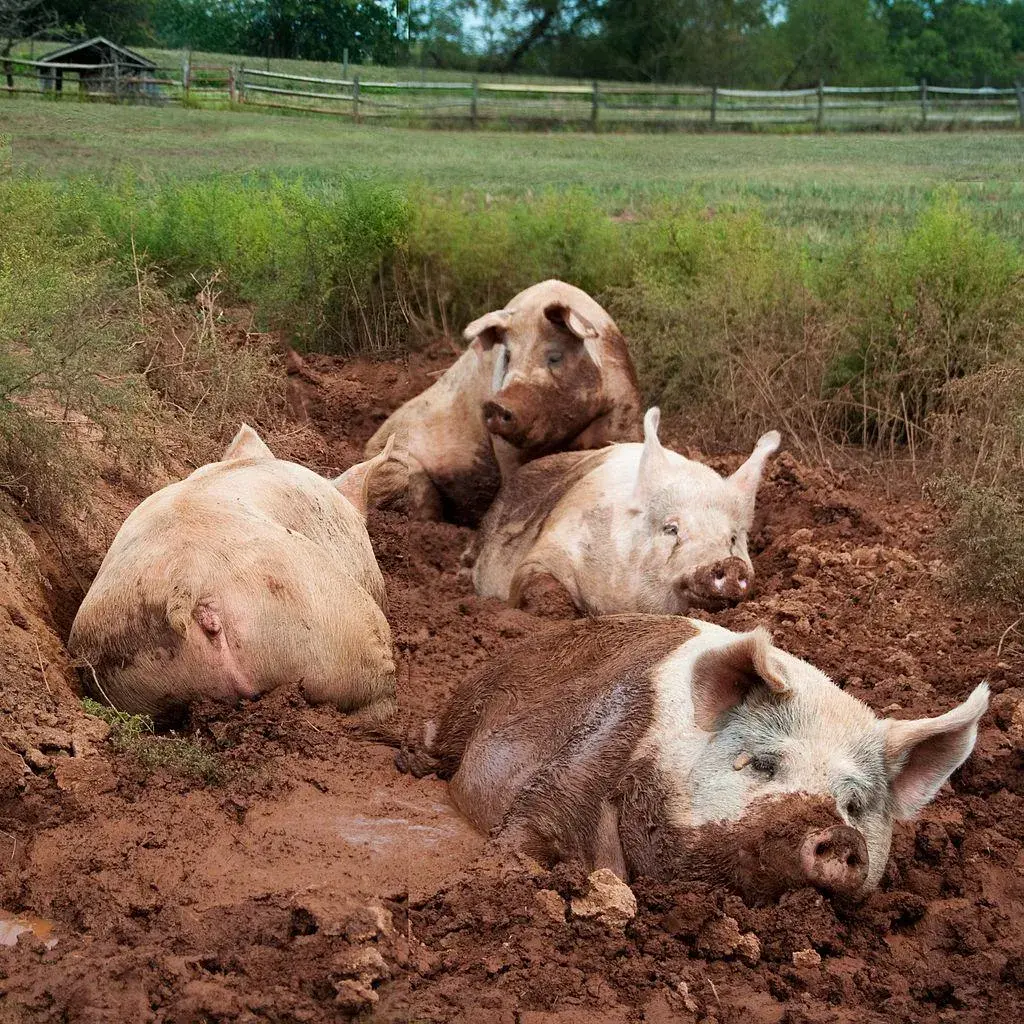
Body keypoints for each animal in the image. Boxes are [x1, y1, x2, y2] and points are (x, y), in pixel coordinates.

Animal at [364, 280, 643, 528]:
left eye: (555, 356)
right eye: (508, 357)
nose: (496, 405)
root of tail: (366, 449)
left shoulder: (623, 412)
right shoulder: (504, 448)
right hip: (399, 467)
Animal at [395, 610, 987, 901]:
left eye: (855, 806)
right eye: (763, 763)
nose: (840, 837)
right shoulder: (592, 750)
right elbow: (529, 828)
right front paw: (492, 878)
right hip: (467, 706)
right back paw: (408, 761)